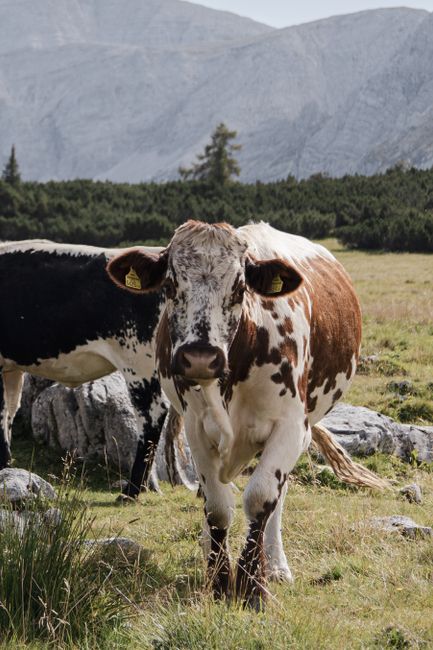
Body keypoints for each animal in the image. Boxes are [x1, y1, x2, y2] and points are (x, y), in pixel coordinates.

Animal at [106, 220, 387, 609]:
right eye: (171, 284)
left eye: (239, 287)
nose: (200, 357)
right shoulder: (197, 430)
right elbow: (217, 507)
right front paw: (219, 579)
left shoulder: (291, 428)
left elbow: (261, 498)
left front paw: (254, 584)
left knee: (276, 496)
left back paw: (277, 565)